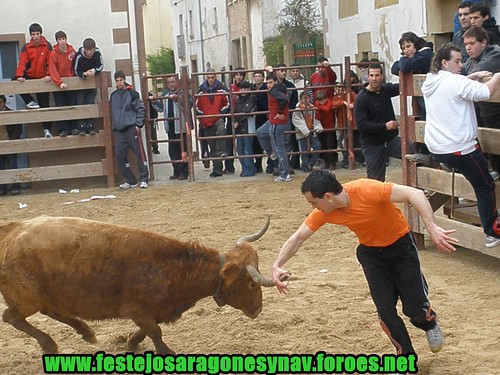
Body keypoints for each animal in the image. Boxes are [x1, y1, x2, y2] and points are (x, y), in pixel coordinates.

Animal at [0, 216, 274, 354]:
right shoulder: (137, 310)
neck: (175, 267)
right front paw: (167, 352)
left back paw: (85, 332)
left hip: (45, 295)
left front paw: (131, 342)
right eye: (252, 284)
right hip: (27, 298)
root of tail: (10, 231)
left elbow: (147, 329)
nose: (259, 309)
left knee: (52, 311)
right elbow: (155, 332)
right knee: (12, 317)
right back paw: (50, 344)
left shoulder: (151, 312)